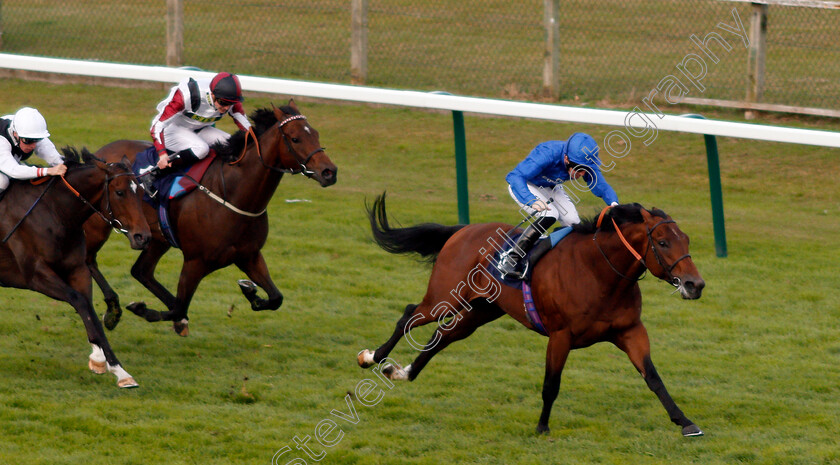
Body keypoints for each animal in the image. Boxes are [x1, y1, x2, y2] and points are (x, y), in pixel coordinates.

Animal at [0, 147, 151, 386]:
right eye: (119, 192)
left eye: (141, 192)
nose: (143, 237)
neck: (56, 213)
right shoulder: (36, 275)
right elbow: (79, 301)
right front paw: (107, 363)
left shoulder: (77, 269)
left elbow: (88, 308)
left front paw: (111, 366)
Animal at [83, 99, 336, 336]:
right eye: (295, 138)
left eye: (315, 134)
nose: (329, 172)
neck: (232, 194)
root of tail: (100, 154)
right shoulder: (195, 261)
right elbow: (179, 308)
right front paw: (141, 309)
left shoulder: (249, 255)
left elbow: (276, 298)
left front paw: (250, 291)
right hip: (98, 226)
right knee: (89, 260)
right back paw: (113, 310)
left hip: (156, 237)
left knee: (141, 271)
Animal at [358, 192, 704, 436]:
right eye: (663, 242)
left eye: (687, 240)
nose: (695, 284)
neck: (599, 272)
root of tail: (462, 231)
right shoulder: (561, 336)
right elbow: (551, 384)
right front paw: (542, 427)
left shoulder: (630, 330)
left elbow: (653, 377)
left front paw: (685, 421)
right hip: (444, 298)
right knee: (409, 316)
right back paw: (372, 356)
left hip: (479, 311)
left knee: (442, 336)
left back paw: (402, 372)